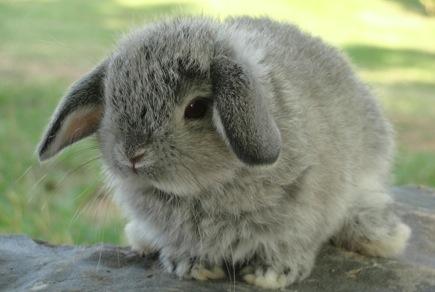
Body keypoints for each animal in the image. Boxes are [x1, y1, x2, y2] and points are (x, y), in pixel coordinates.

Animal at [37, 16, 412, 290]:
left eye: (196, 108)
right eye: (112, 102)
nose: (132, 155)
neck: (205, 190)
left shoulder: (305, 220)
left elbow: (292, 248)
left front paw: (269, 276)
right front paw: (192, 266)